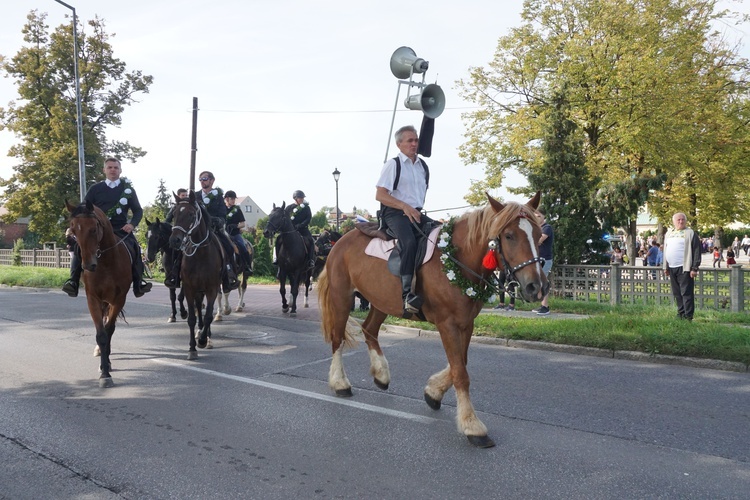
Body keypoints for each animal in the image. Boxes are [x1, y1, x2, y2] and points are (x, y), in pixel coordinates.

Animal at [65, 201, 132, 388]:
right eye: (73, 230)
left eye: (93, 229)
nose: (88, 265)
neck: (106, 263)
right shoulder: (93, 298)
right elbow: (101, 334)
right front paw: (104, 371)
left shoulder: (119, 299)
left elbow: (108, 331)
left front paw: (106, 368)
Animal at [171, 191, 225, 360]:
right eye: (174, 213)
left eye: (190, 214)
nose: (174, 240)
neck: (200, 254)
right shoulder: (189, 288)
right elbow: (192, 318)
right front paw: (192, 348)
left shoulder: (212, 288)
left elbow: (208, 315)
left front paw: (202, 340)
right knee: (198, 308)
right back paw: (200, 331)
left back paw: (206, 336)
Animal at [316, 193, 548, 448]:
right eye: (509, 236)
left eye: (539, 233)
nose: (537, 286)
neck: (456, 258)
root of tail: (341, 241)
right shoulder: (447, 324)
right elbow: (460, 373)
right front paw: (472, 425)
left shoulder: (466, 323)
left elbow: (460, 364)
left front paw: (433, 392)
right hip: (342, 297)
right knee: (337, 338)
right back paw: (340, 383)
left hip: (380, 301)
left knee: (369, 330)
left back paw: (381, 374)